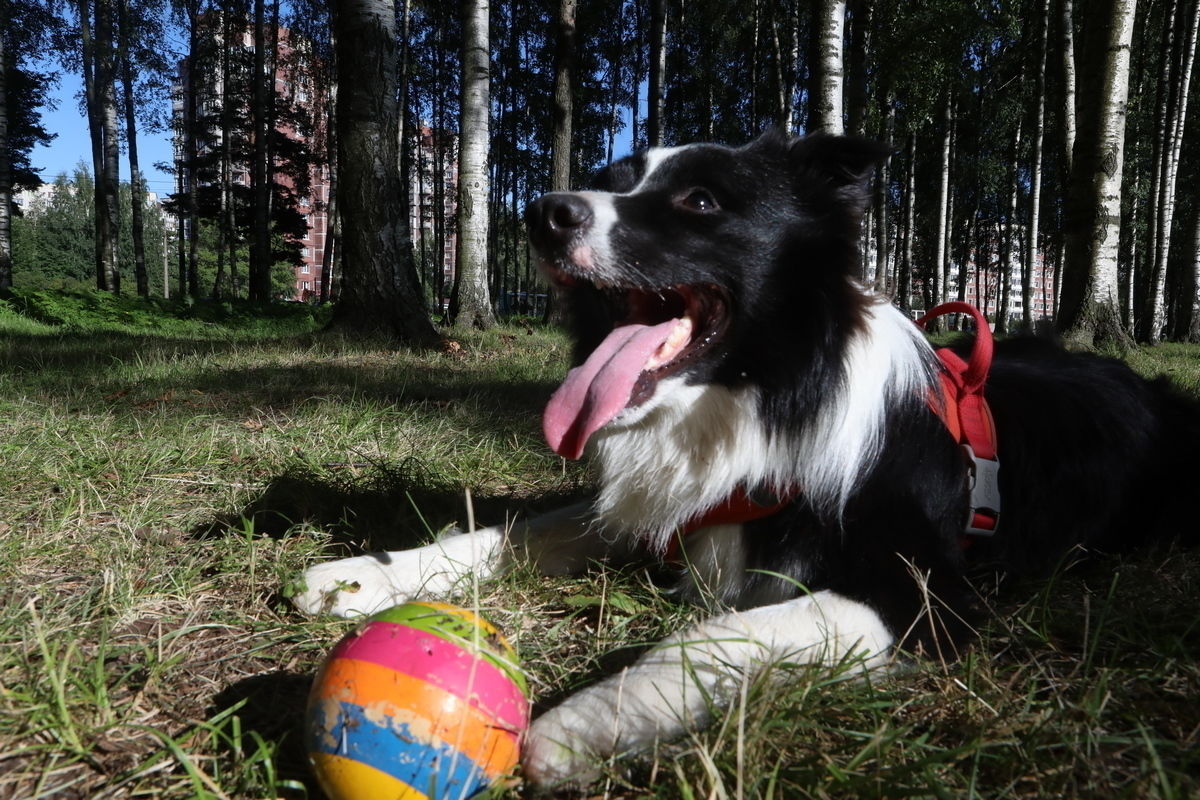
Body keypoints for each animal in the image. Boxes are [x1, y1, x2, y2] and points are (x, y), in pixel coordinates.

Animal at [292, 131, 1200, 786]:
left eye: (700, 200)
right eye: (617, 179)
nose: (544, 211)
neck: (761, 396)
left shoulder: (926, 594)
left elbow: (718, 633)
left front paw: (578, 726)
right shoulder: (675, 504)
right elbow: (513, 530)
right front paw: (359, 577)